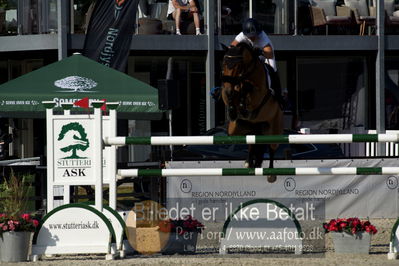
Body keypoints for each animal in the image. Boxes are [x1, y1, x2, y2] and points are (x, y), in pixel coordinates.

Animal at [222, 42, 284, 183]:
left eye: (238, 65)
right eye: (224, 63)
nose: (228, 89)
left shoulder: (258, 94)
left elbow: (247, 87)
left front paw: (242, 103)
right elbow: (232, 94)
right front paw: (233, 109)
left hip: (274, 128)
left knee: (271, 148)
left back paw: (271, 174)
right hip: (238, 129)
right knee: (251, 142)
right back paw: (249, 163)